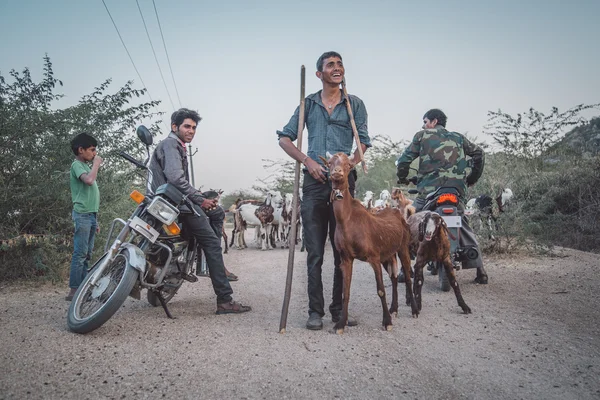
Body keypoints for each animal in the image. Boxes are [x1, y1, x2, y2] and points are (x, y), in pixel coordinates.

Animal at [322, 153, 414, 334]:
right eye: (329, 163)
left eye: (348, 165)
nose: (337, 172)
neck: (347, 221)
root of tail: (397, 212)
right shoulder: (346, 258)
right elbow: (346, 292)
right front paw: (341, 324)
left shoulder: (374, 257)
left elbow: (380, 290)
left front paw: (386, 322)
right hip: (388, 254)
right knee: (394, 278)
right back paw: (394, 309)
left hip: (402, 247)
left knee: (407, 275)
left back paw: (414, 309)